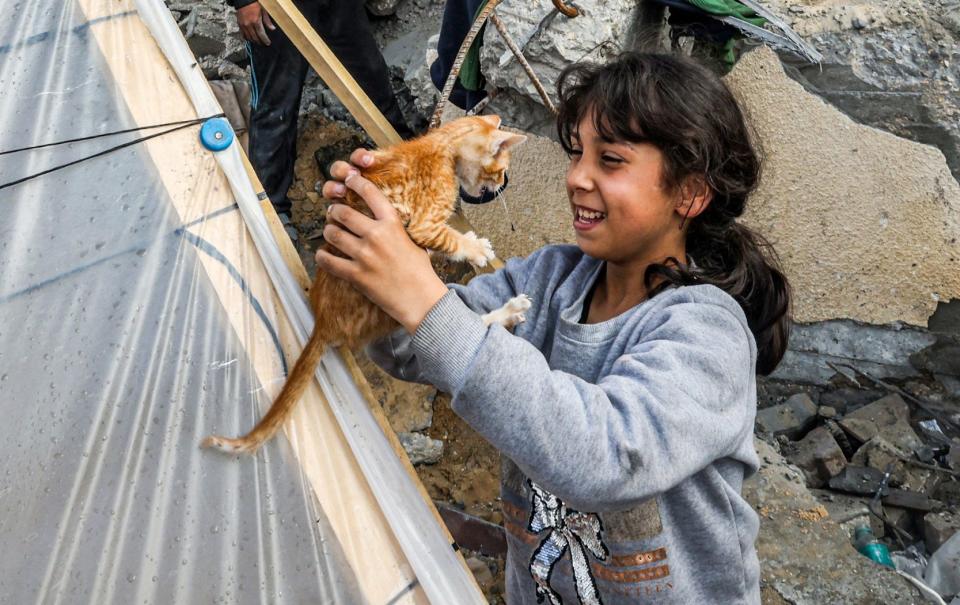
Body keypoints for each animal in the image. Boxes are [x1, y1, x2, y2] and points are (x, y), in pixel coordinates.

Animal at [203, 114, 528, 452]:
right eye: (500, 169)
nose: (499, 185)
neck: (441, 146)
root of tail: (323, 321)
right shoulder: (425, 224)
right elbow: (449, 240)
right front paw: (476, 249)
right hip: (388, 307)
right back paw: (510, 311)